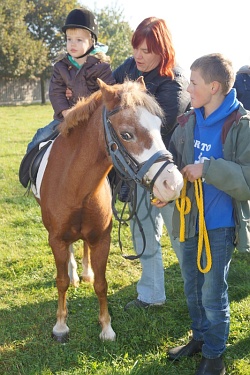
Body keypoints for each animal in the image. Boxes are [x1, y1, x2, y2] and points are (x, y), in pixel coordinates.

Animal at [32, 78, 184, 344]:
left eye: (158, 126)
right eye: (126, 134)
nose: (173, 184)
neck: (75, 185)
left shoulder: (101, 239)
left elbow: (102, 284)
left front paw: (106, 328)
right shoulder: (56, 239)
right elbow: (61, 282)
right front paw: (60, 326)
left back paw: (85, 272)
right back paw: (74, 274)